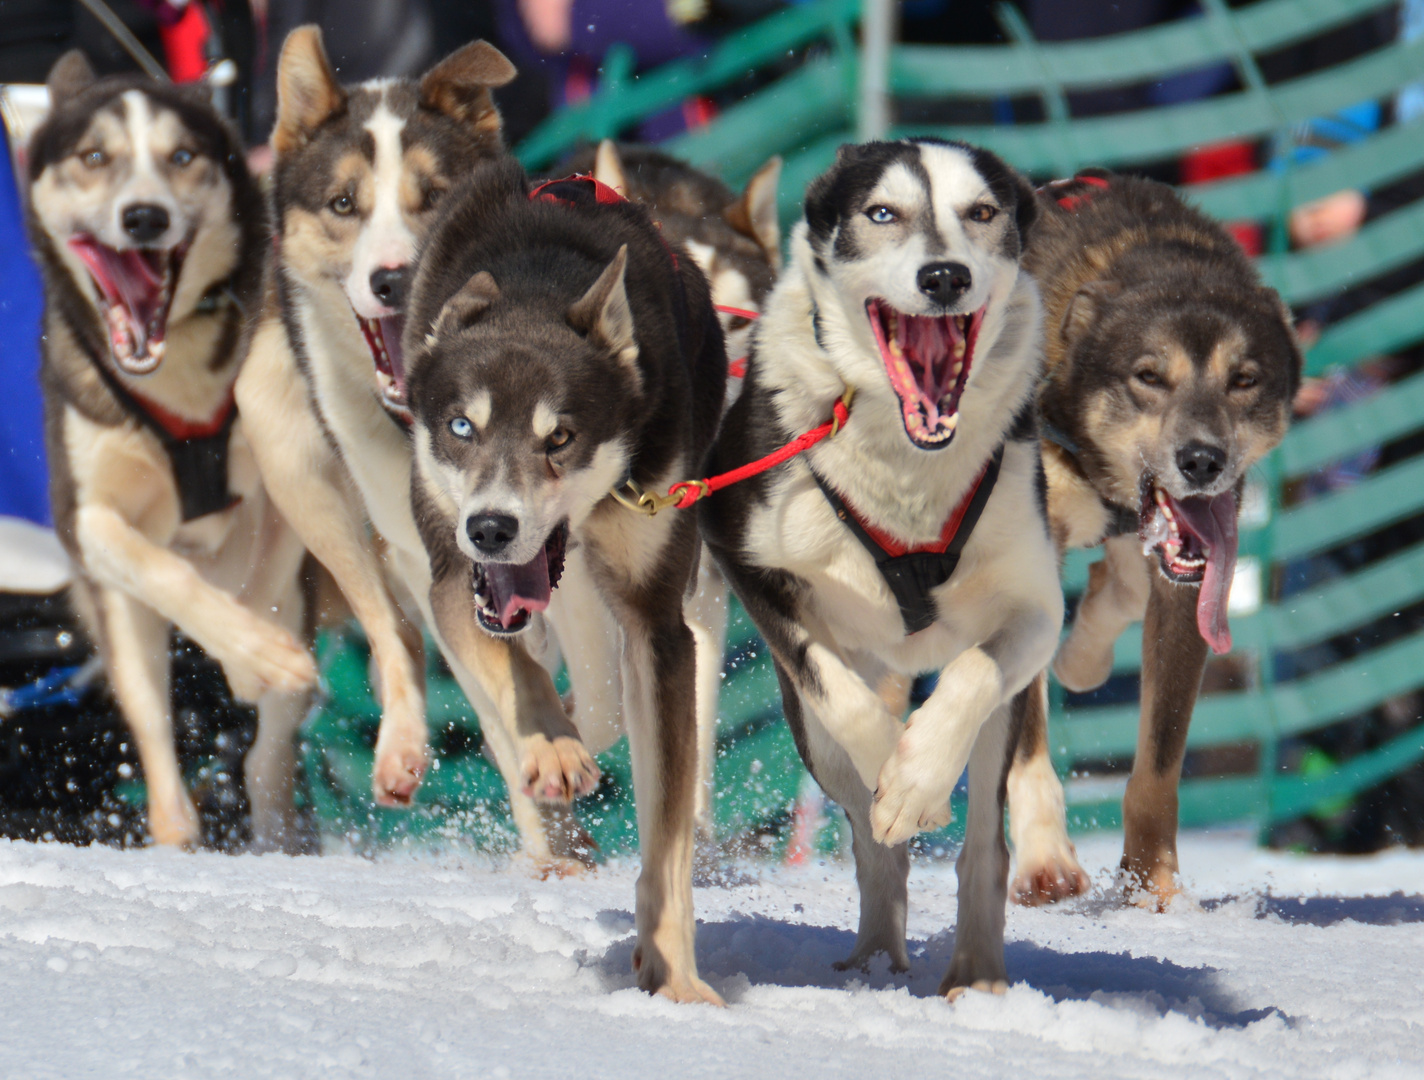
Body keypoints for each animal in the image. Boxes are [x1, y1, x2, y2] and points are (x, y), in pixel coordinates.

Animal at [232, 27, 595, 871]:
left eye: (435, 197)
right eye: (344, 204)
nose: (396, 278)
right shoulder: (438, 559)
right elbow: (487, 675)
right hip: (295, 458)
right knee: (387, 628)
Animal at [407, 161, 729, 1008]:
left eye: (561, 436)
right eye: (461, 426)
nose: (492, 527)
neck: (535, 287)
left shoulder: (657, 622)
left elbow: (667, 838)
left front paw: (676, 977)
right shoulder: (452, 579)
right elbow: (510, 670)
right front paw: (550, 748)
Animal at [700, 141, 1059, 997]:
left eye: (982, 212)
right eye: (882, 213)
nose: (944, 276)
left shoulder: (1038, 609)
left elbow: (972, 673)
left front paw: (921, 775)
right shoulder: (746, 558)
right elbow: (842, 697)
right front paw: (895, 770)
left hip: (1006, 720)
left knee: (984, 844)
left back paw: (973, 974)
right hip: (812, 737)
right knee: (867, 832)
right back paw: (873, 952)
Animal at [1002, 173, 1304, 911]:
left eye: (1244, 379)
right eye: (1148, 376)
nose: (1202, 460)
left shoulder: (1186, 589)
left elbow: (1159, 763)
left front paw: (1153, 886)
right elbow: (1026, 744)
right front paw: (1044, 860)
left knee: (1114, 590)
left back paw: (1083, 653)